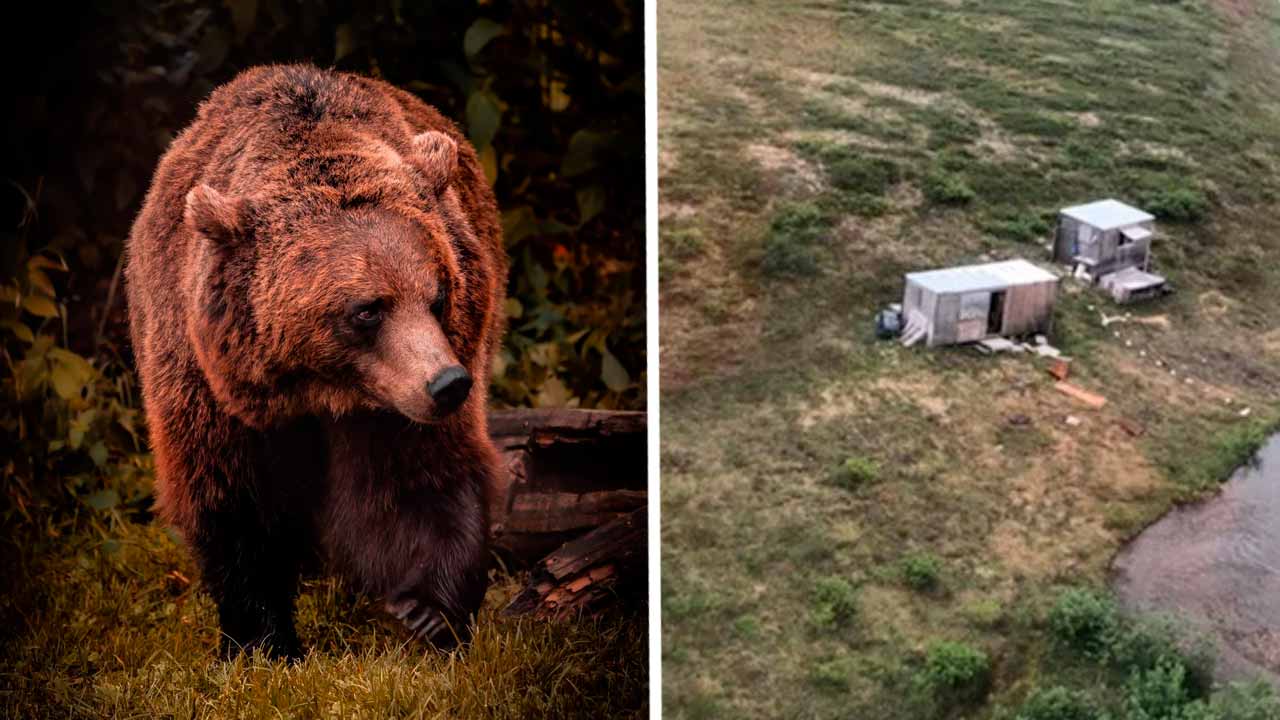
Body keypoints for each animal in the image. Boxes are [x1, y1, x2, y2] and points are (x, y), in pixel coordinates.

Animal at [124, 63, 509, 655]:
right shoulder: (206, 383)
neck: (319, 389)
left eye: (438, 294)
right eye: (368, 309)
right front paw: (264, 638)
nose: (448, 384)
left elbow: (421, 480)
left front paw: (427, 611)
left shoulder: (398, 399)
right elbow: (231, 501)